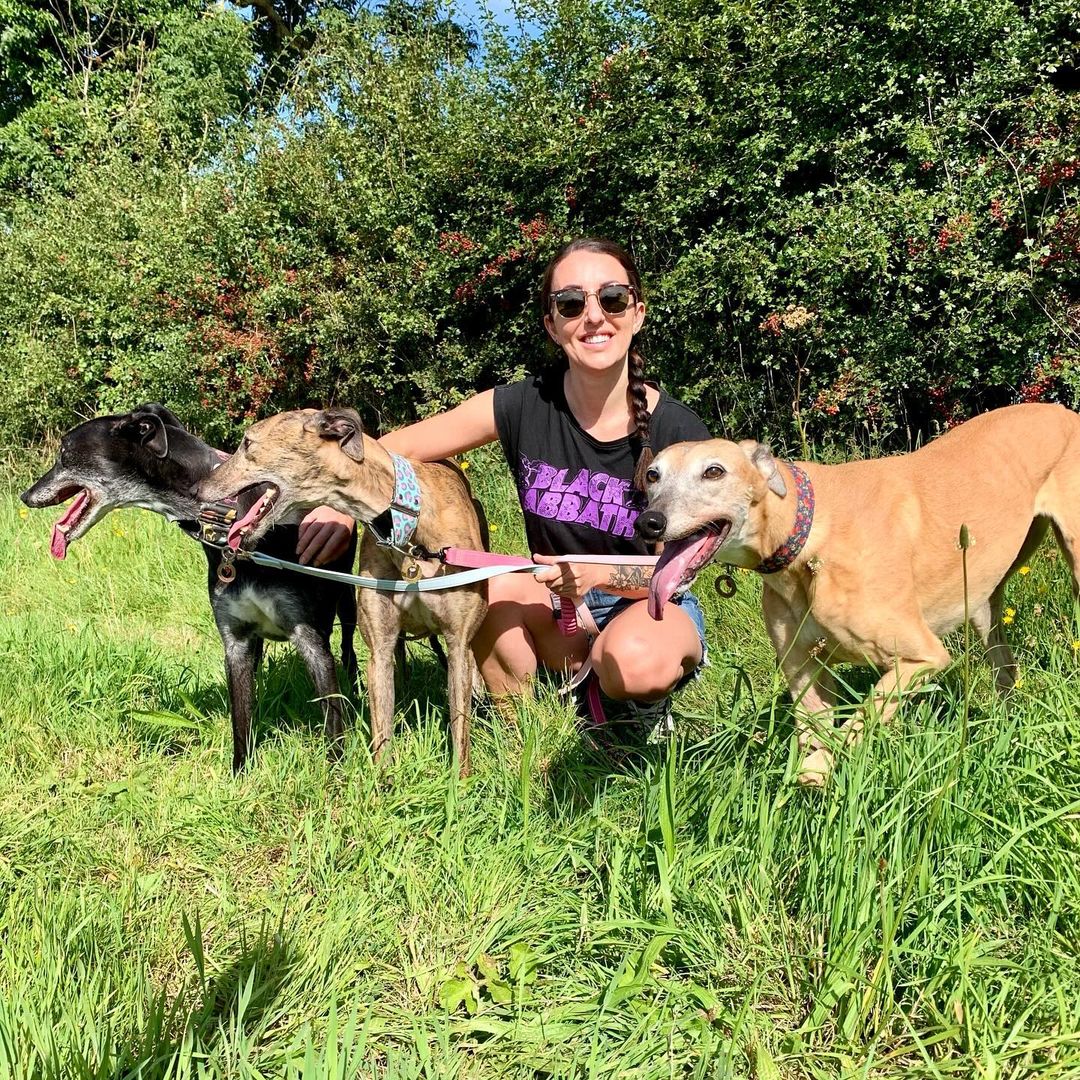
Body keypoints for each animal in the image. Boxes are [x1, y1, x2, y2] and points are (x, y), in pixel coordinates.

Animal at [19, 403, 358, 768]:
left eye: (64, 452)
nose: (25, 496)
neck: (227, 513)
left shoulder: (309, 639)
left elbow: (332, 720)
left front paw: (336, 770)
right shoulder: (236, 642)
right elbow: (241, 722)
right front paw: (240, 773)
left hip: (348, 602)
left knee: (349, 649)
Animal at [198, 406, 490, 777]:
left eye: (247, 443)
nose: (198, 488)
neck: (408, 530)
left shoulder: (456, 638)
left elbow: (459, 727)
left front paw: (460, 783)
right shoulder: (378, 646)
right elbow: (382, 732)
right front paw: (384, 785)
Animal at [635, 401, 1080, 781]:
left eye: (714, 471)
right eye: (653, 475)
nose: (648, 522)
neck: (807, 532)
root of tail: (1063, 411)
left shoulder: (921, 657)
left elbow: (855, 725)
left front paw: (818, 770)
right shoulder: (803, 669)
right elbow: (816, 731)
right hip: (984, 603)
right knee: (1005, 665)